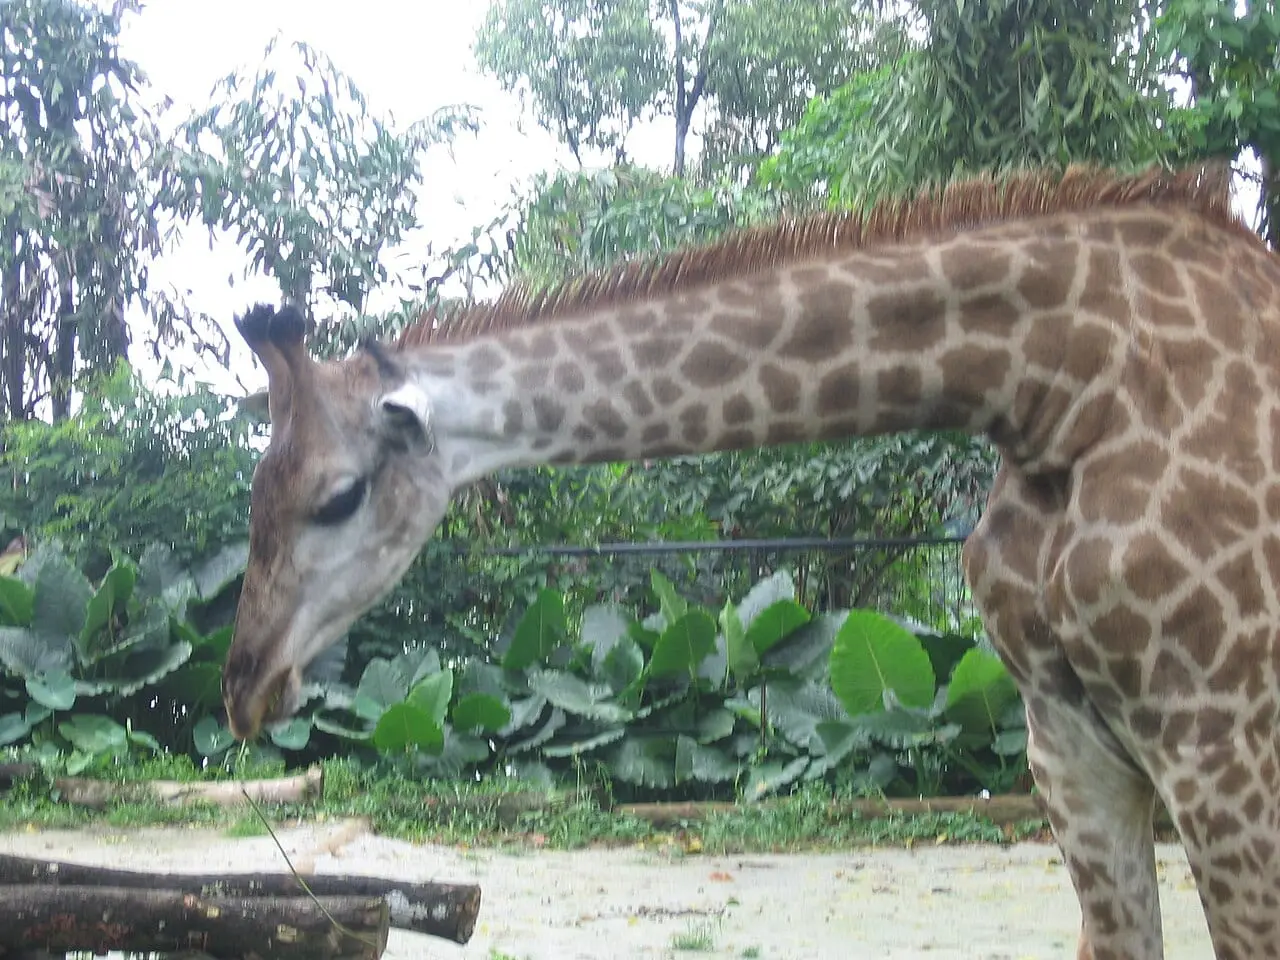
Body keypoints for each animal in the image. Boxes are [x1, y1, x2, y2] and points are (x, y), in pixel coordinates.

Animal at [221, 162, 1280, 960]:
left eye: (337, 496)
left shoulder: (1221, 743)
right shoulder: (1068, 745)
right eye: (253, 494)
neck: (1057, 383)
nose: (244, 686)